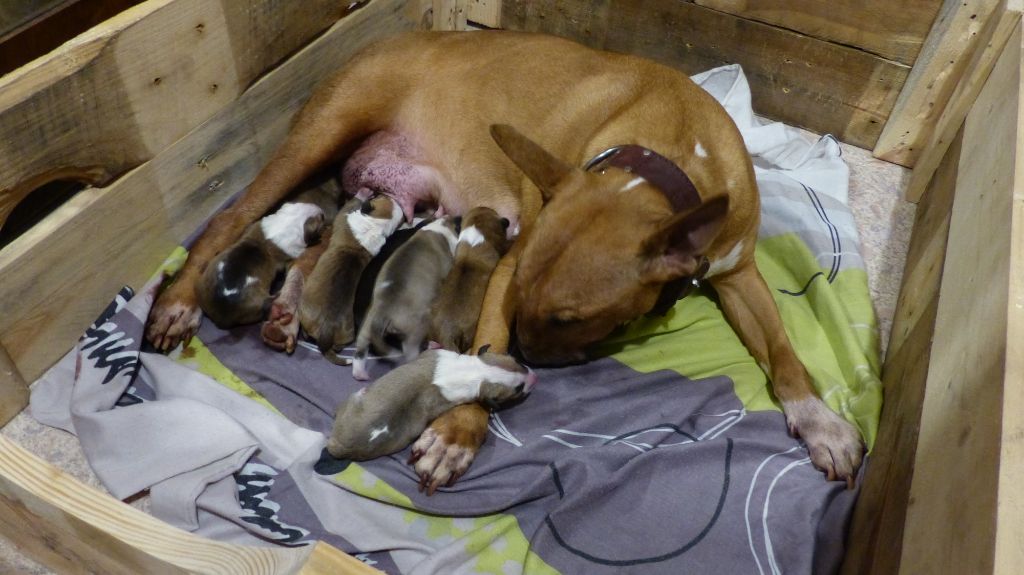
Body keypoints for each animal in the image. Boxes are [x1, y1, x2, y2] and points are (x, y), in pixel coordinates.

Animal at [327, 343, 536, 470]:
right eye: (518, 389)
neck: (478, 371)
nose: (535, 377)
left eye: (519, 361)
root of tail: (337, 446)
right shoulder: (436, 356)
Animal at [356, 214, 460, 380]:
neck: (440, 227)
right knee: (411, 352)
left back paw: (360, 374)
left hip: (367, 327)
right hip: (415, 329)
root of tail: (383, 313)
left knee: (360, 351)